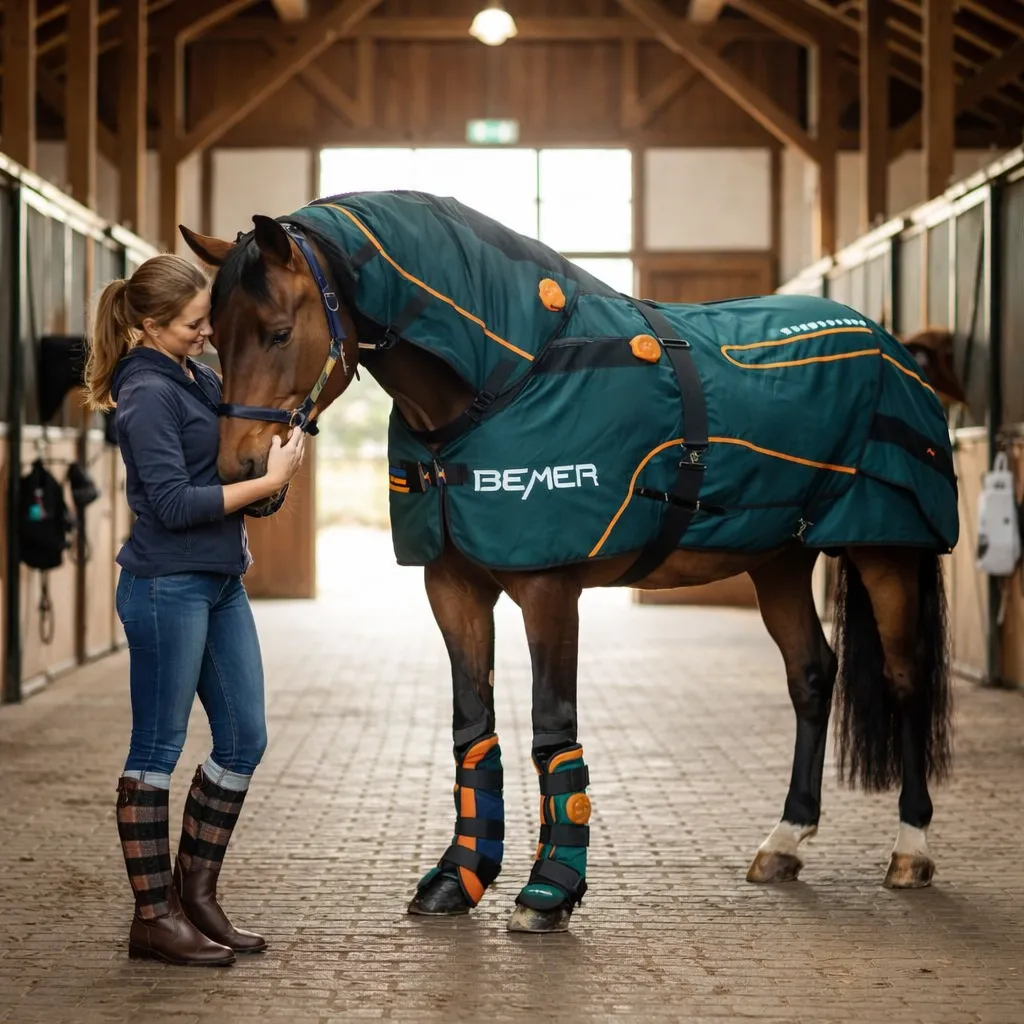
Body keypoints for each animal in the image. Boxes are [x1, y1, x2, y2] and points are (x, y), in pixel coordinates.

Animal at [178, 192, 956, 934]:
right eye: (214, 335)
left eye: (279, 332)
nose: (240, 471)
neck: (508, 376)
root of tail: (889, 346)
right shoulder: (452, 585)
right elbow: (473, 728)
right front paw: (456, 878)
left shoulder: (550, 590)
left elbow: (551, 728)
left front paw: (549, 892)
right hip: (781, 559)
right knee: (812, 677)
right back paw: (785, 840)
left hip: (886, 554)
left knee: (905, 678)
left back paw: (912, 850)